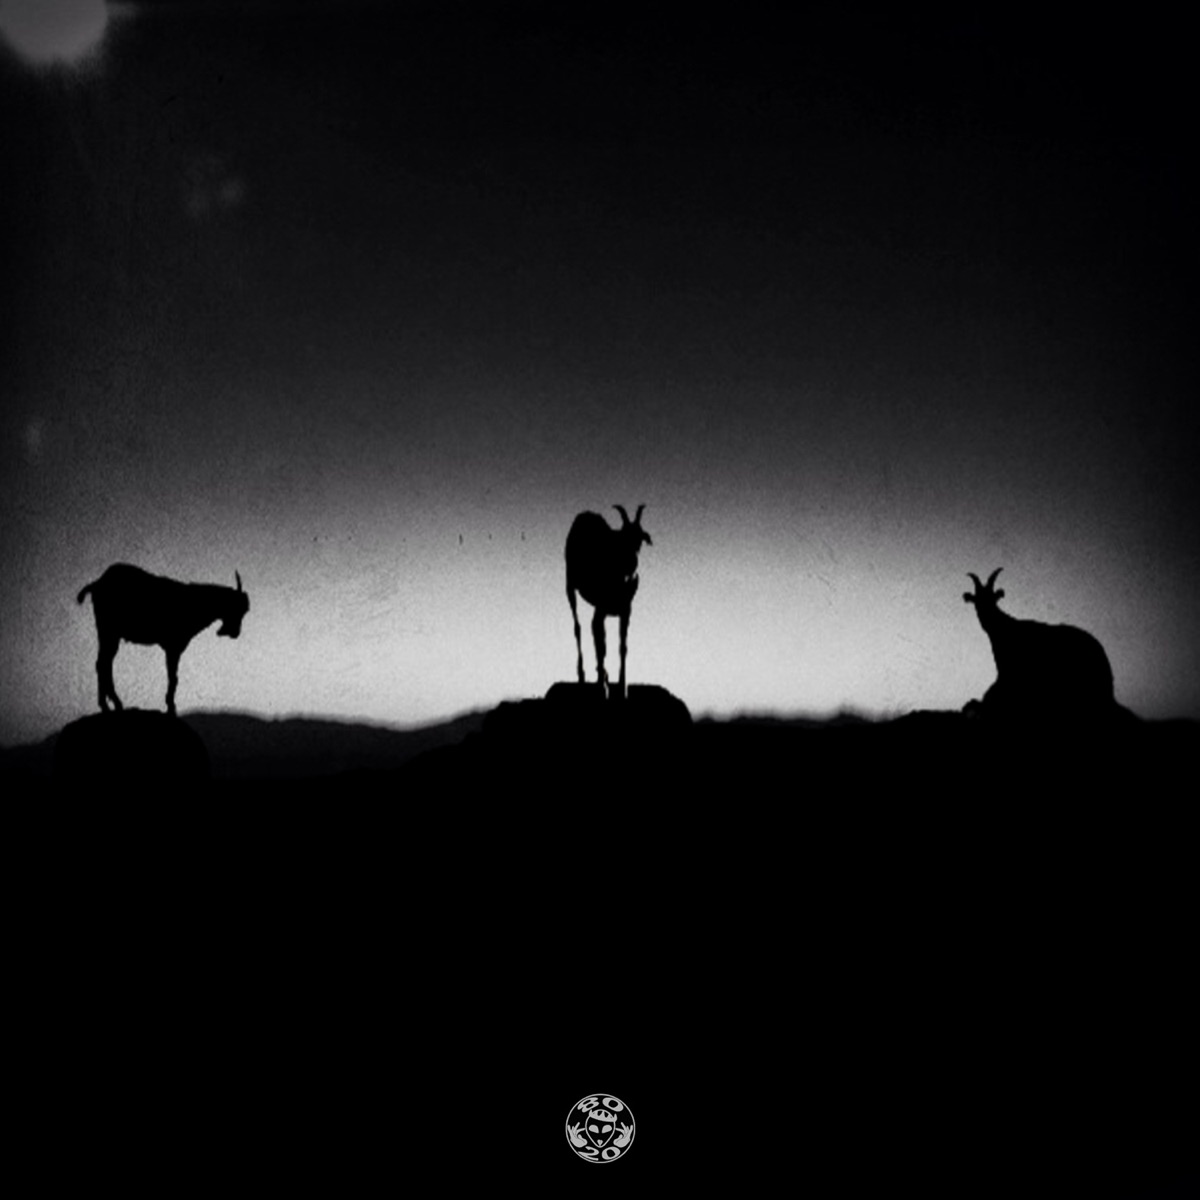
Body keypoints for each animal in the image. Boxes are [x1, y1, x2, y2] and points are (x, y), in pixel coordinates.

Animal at [77, 563, 249, 716]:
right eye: (237, 609)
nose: (235, 633)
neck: (194, 603)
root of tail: (98, 583)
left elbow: (173, 677)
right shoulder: (173, 648)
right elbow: (173, 678)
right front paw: (171, 707)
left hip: (108, 634)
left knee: (103, 663)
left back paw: (108, 704)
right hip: (109, 631)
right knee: (103, 663)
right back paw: (113, 703)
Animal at [565, 505, 652, 698]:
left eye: (639, 539)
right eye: (623, 538)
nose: (632, 564)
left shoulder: (626, 611)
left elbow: (622, 646)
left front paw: (622, 686)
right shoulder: (601, 609)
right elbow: (602, 644)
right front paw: (602, 685)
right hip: (570, 585)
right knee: (578, 627)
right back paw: (583, 675)